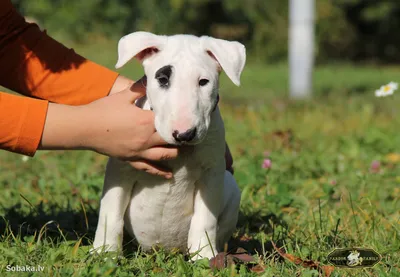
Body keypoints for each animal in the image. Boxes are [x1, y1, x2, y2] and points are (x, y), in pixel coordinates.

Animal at [92, 31, 245, 258]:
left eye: (203, 81)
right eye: (162, 79)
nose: (184, 134)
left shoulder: (212, 172)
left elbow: (205, 218)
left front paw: (203, 256)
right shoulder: (120, 170)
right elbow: (110, 212)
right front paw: (105, 252)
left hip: (231, 186)